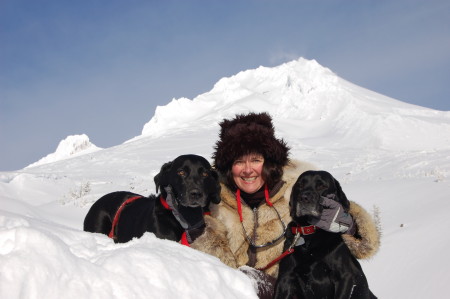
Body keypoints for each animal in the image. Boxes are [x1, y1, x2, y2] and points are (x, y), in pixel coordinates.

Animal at [274, 171, 376, 299]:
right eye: (300, 185)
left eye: (321, 186)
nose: (303, 198)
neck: (310, 234)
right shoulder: (285, 277)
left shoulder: (344, 276)